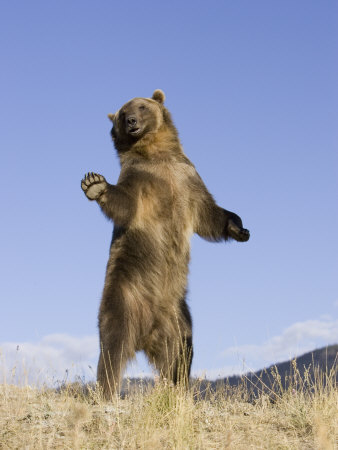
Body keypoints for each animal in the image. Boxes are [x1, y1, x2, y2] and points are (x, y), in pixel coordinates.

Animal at [81, 89, 250, 398]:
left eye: (141, 107)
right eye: (123, 114)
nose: (132, 121)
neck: (156, 154)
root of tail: (146, 332)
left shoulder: (187, 179)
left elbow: (210, 215)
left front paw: (239, 227)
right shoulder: (141, 181)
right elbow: (126, 204)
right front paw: (95, 184)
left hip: (177, 316)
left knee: (181, 352)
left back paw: (179, 389)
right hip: (123, 295)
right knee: (112, 346)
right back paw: (107, 391)